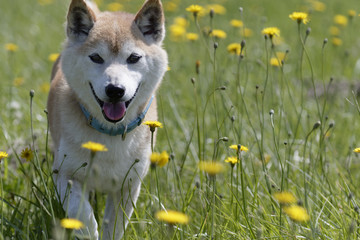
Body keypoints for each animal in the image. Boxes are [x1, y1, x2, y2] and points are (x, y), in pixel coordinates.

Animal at [46, 0, 169, 238]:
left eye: (133, 58)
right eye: (96, 57)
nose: (115, 90)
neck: (109, 134)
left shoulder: (128, 184)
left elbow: (114, 225)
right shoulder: (65, 173)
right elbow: (82, 213)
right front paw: (88, 231)